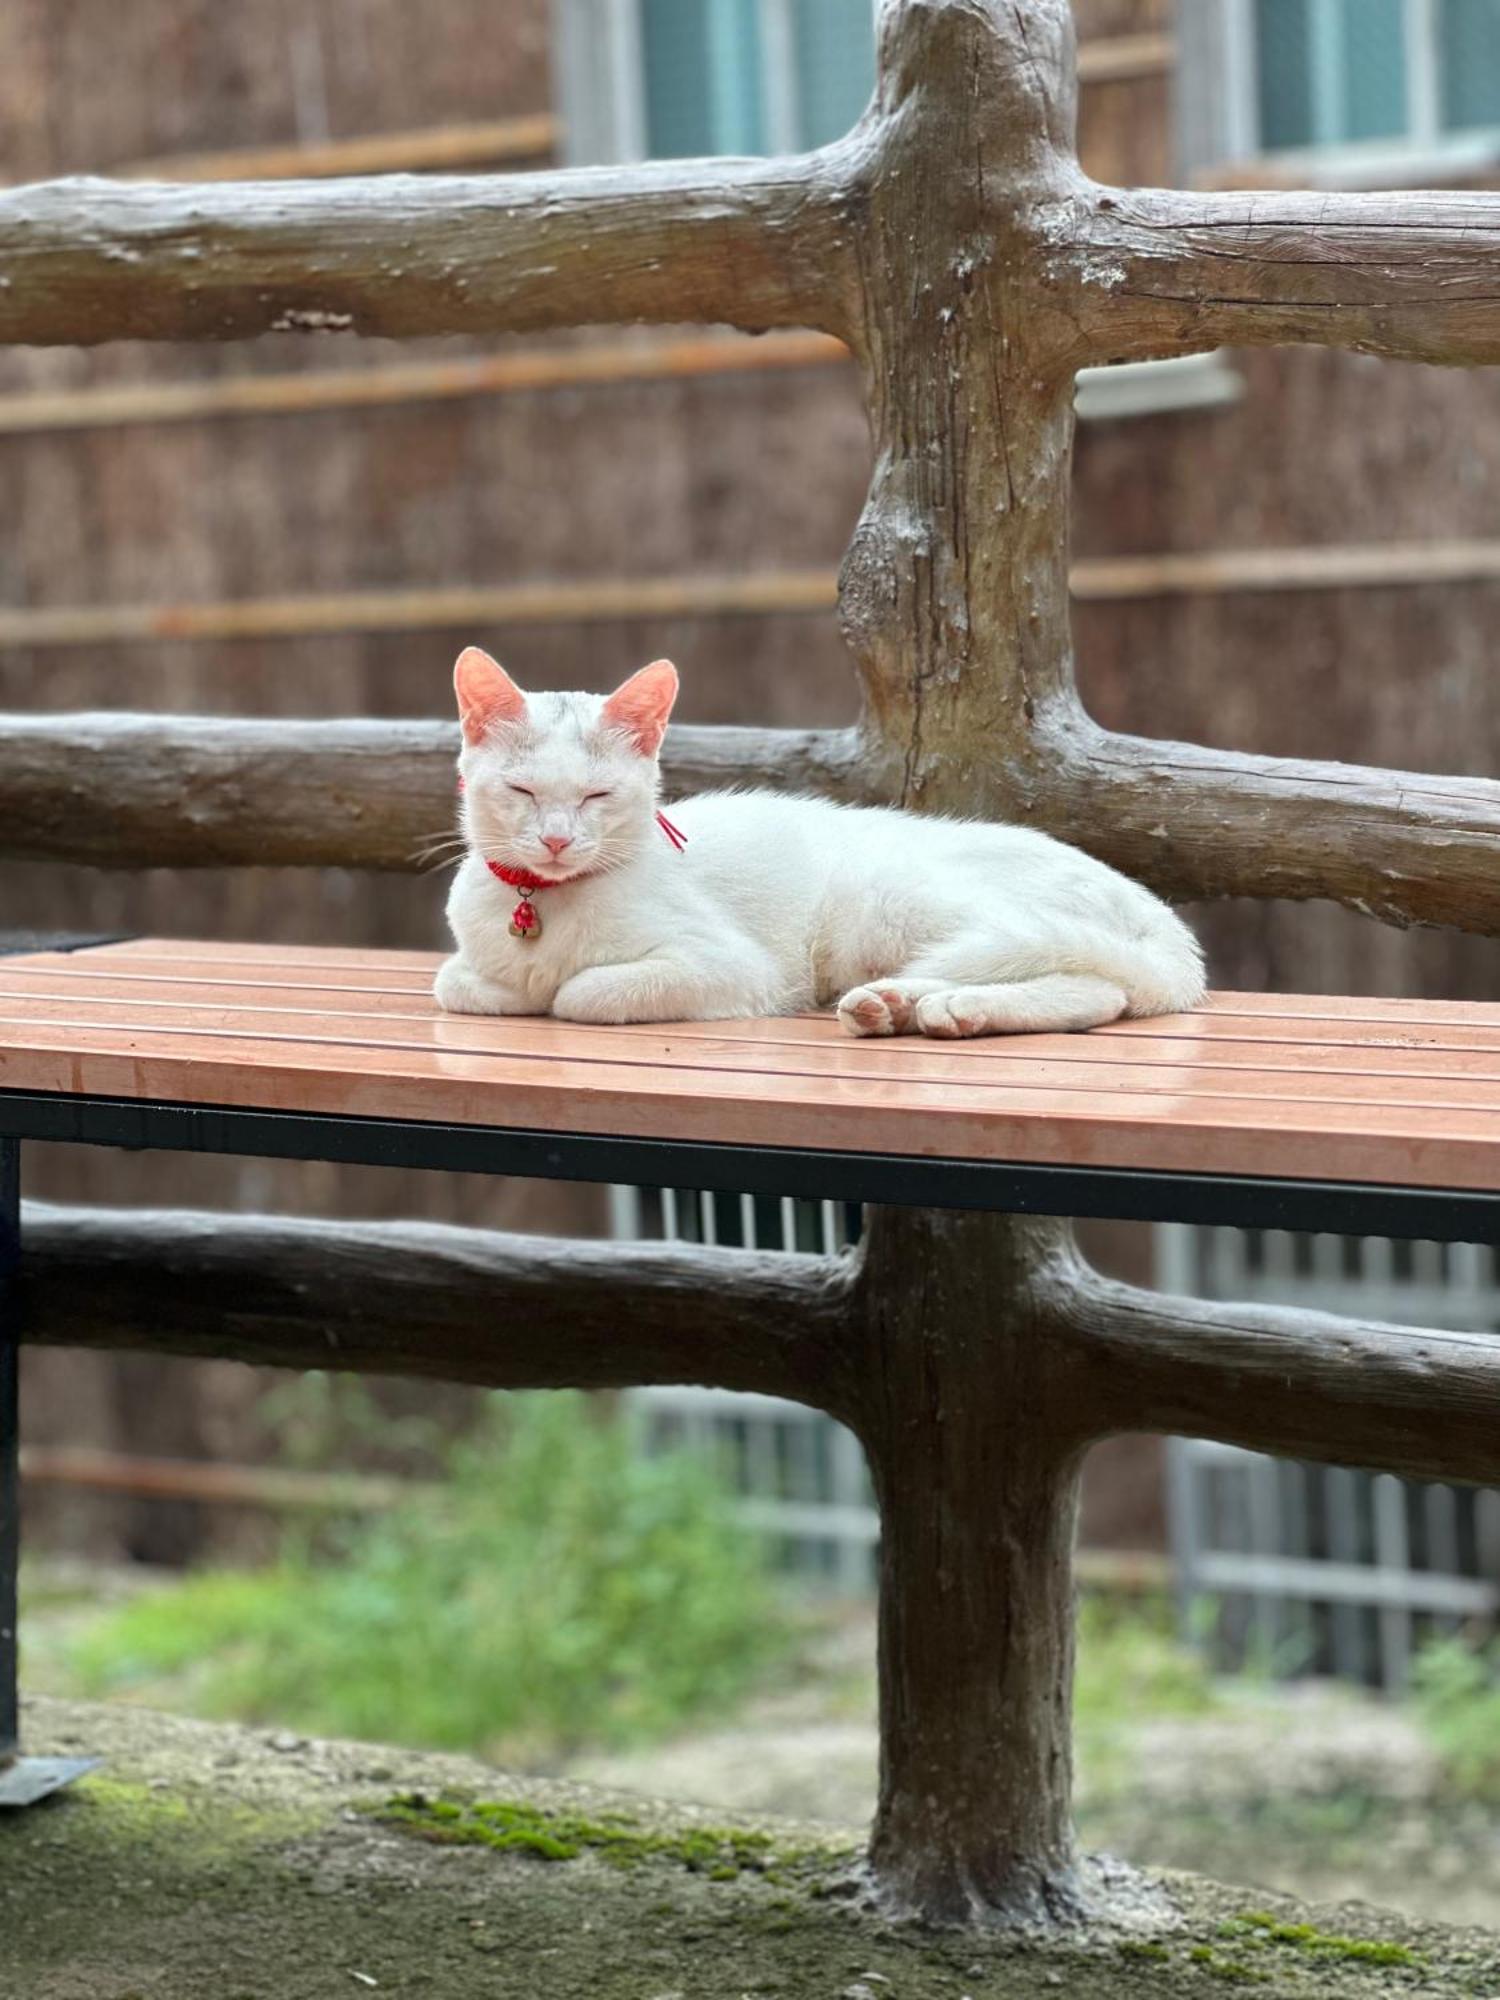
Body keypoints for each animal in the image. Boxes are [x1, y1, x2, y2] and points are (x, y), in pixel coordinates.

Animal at [434, 648, 1208, 1040]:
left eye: (597, 797)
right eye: (523, 790)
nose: (557, 840)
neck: (541, 903)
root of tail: (1155, 912)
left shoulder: (739, 970)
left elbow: (579, 993)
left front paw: (552, 989)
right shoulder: (465, 968)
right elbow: (456, 982)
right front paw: (508, 988)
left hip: (897, 897)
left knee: (1084, 978)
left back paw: (934, 1005)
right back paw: (901, 1007)